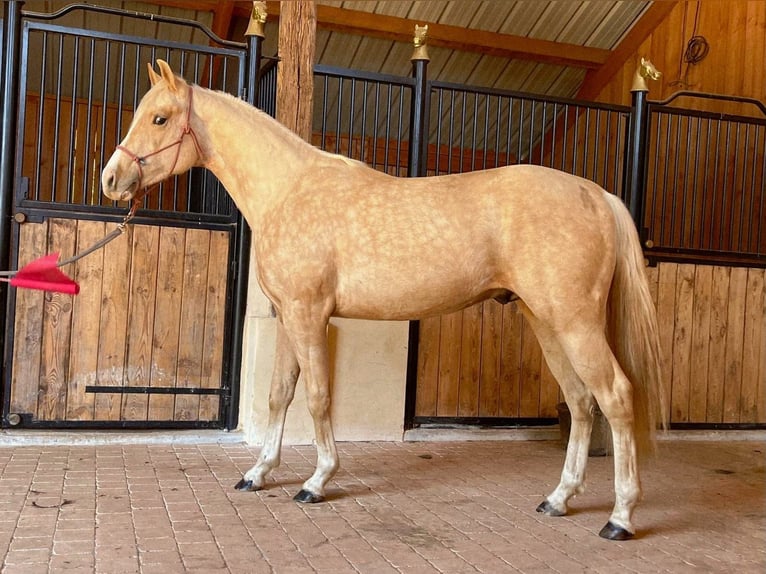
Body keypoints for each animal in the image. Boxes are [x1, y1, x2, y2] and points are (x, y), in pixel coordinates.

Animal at [102, 60, 665, 540]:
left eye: (159, 117)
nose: (111, 179)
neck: (289, 189)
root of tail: (597, 194)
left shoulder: (309, 315)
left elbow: (317, 396)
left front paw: (316, 481)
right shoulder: (287, 317)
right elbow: (279, 394)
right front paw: (259, 473)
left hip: (575, 323)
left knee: (616, 396)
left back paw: (620, 517)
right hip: (546, 322)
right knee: (581, 401)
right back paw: (559, 498)